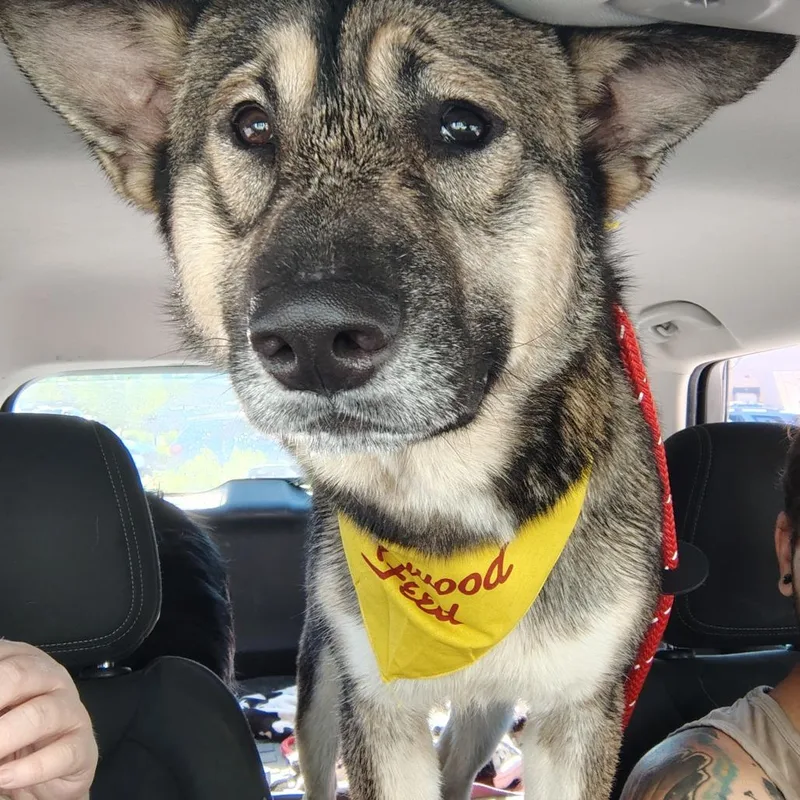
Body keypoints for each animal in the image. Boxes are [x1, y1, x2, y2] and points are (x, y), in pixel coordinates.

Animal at [0, 1, 793, 797]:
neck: (449, 526)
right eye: (251, 127)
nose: (313, 340)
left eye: (463, 124)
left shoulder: (580, 716)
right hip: (324, 684)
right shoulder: (376, 709)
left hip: (486, 711)